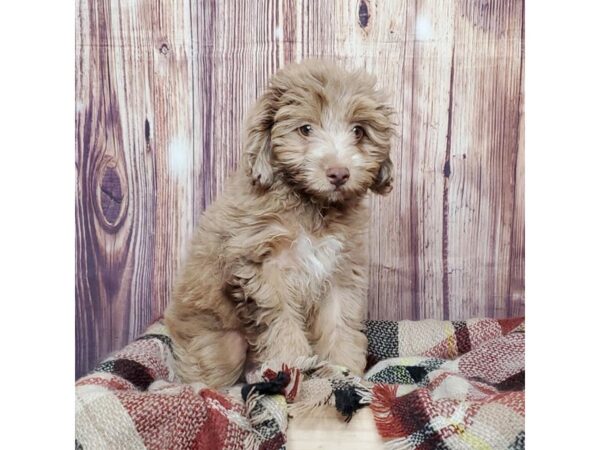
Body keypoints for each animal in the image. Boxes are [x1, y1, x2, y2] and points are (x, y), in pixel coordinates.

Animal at [166, 59, 396, 388]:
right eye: (305, 129)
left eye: (358, 131)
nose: (339, 173)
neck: (311, 206)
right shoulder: (264, 270)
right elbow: (281, 321)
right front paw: (294, 365)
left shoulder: (340, 272)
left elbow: (339, 321)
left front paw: (343, 368)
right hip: (220, 342)